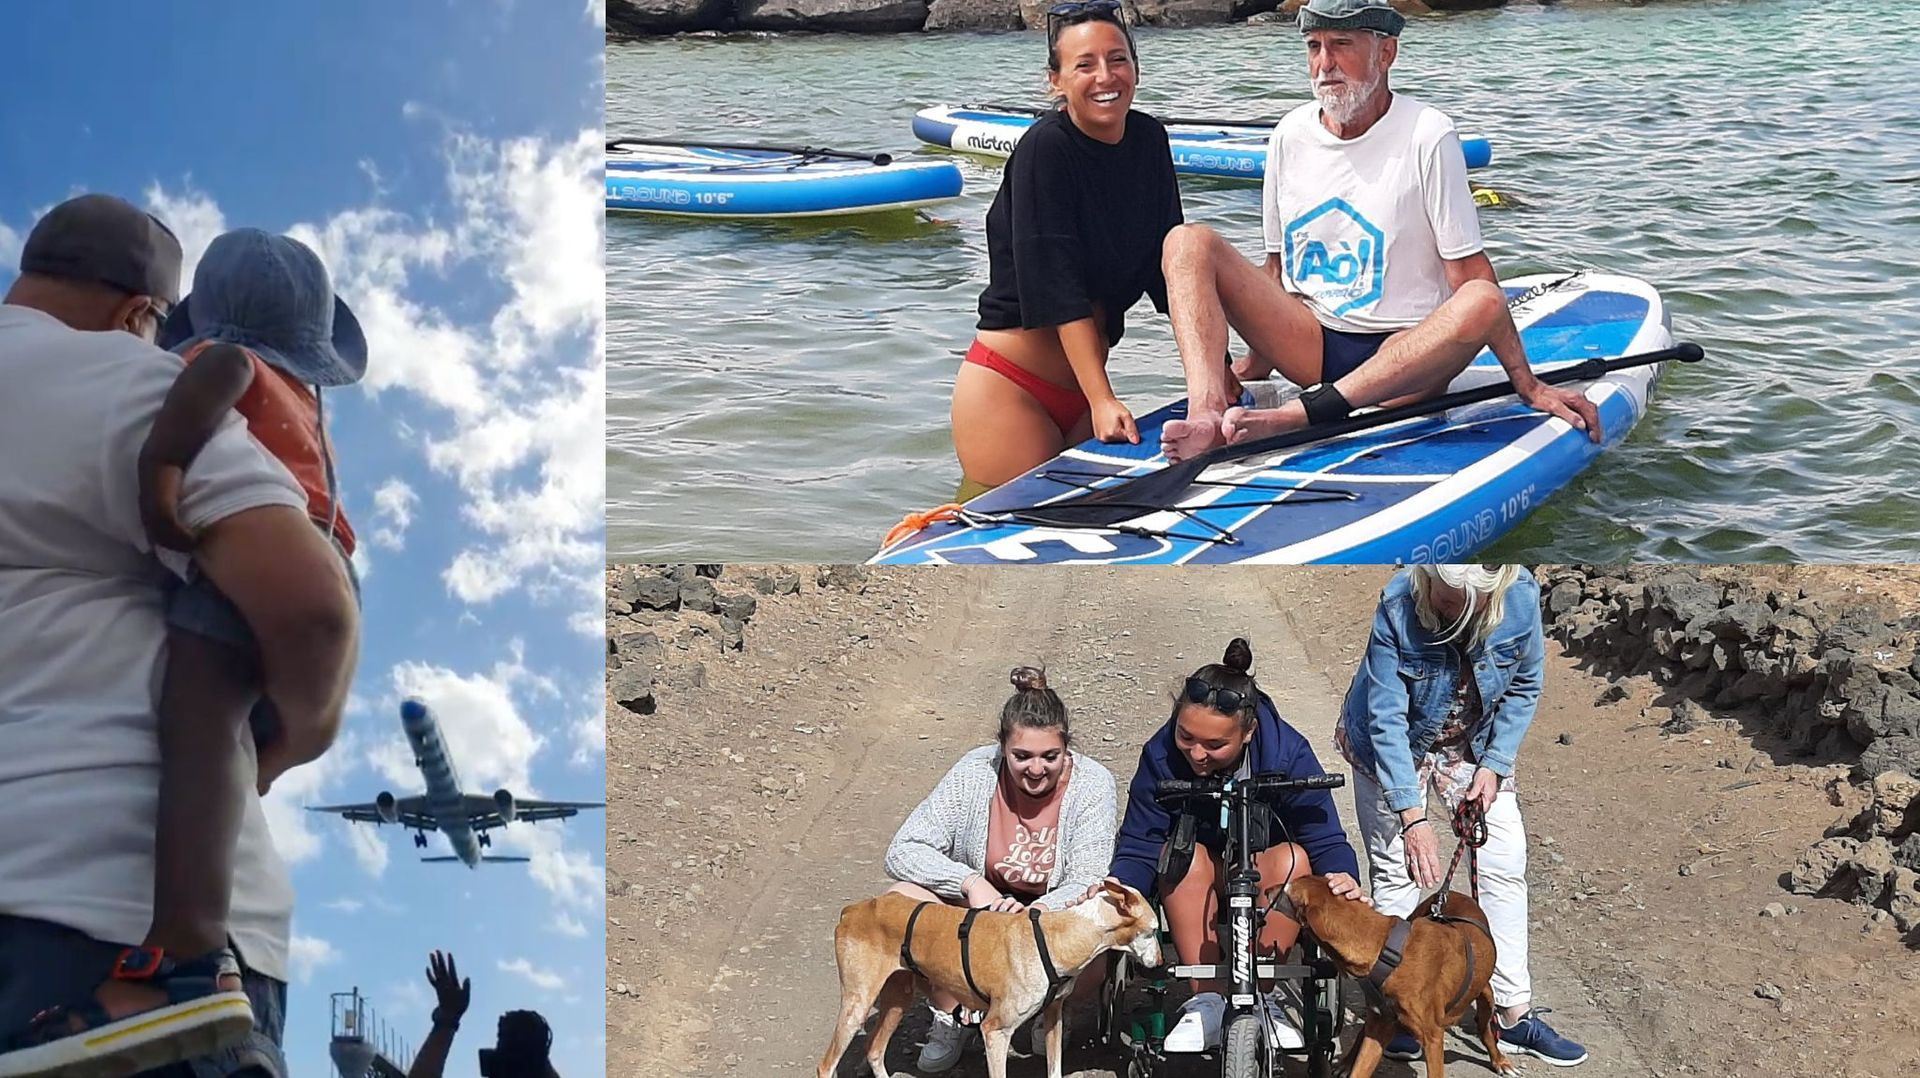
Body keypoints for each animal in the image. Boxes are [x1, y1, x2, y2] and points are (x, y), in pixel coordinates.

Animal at [810, 880, 1152, 1076]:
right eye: (1151, 931)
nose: (1158, 962)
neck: (1057, 936)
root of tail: (855, 909)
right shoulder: (995, 1032)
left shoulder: (1054, 1017)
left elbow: (1054, 1068)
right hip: (857, 1006)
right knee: (826, 1065)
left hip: (897, 1000)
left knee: (874, 1051)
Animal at [1290, 876, 1512, 1076]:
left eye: (1288, 891)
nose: (1278, 885)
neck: (1385, 949)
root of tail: (1455, 895)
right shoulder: (1380, 1027)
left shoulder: (1432, 1037)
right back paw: (1345, 1064)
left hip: (1487, 996)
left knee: (1484, 1027)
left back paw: (1499, 1060)